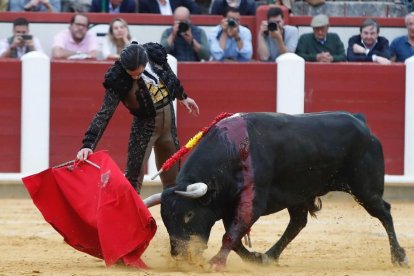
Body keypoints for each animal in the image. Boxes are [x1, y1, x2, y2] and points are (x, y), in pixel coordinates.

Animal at [145, 111, 408, 268]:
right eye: (164, 218)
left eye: (189, 214)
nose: (179, 255)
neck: (232, 150)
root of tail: (360, 121)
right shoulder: (230, 205)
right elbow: (235, 237)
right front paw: (252, 258)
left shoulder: (253, 200)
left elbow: (231, 234)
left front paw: (216, 263)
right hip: (300, 194)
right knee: (298, 222)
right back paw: (269, 256)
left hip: (365, 188)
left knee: (384, 212)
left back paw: (399, 257)